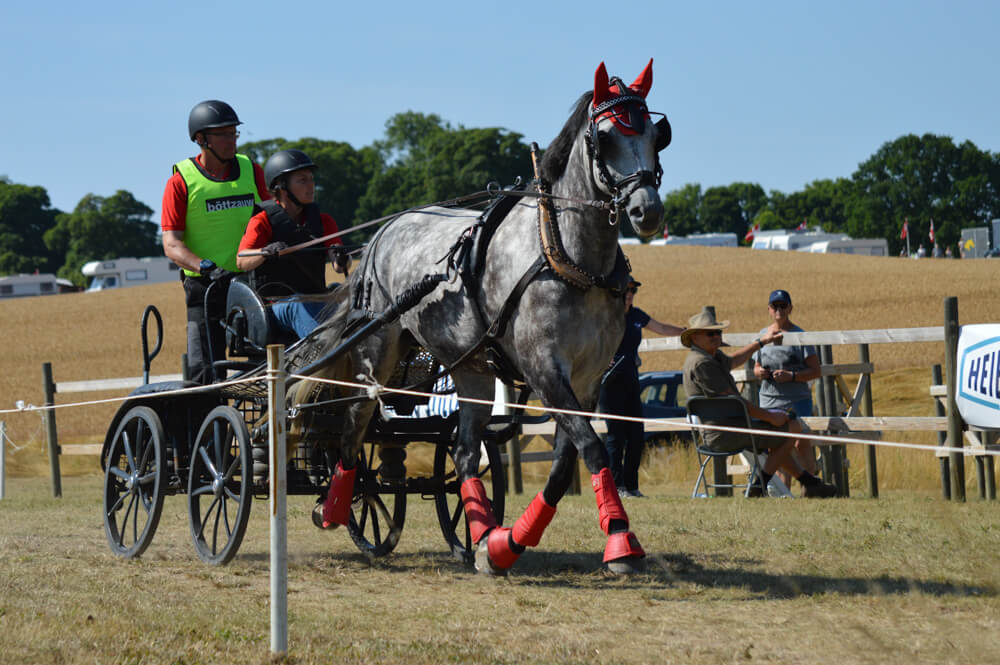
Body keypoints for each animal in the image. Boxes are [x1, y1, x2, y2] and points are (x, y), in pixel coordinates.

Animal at [292, 59, 676, 572]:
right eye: (607, 137)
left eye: (656, 135)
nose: (645, 210)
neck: (567, 258)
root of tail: (381, 234)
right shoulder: (543, 368)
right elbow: (593, 448)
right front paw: (620, 541)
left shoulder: (589, 377)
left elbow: (565, 463)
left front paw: (507, 544)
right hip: (378, 352)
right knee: (356, 423)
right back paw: (335, 507)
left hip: (470, 368)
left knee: (463, 452)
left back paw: (482, 537)